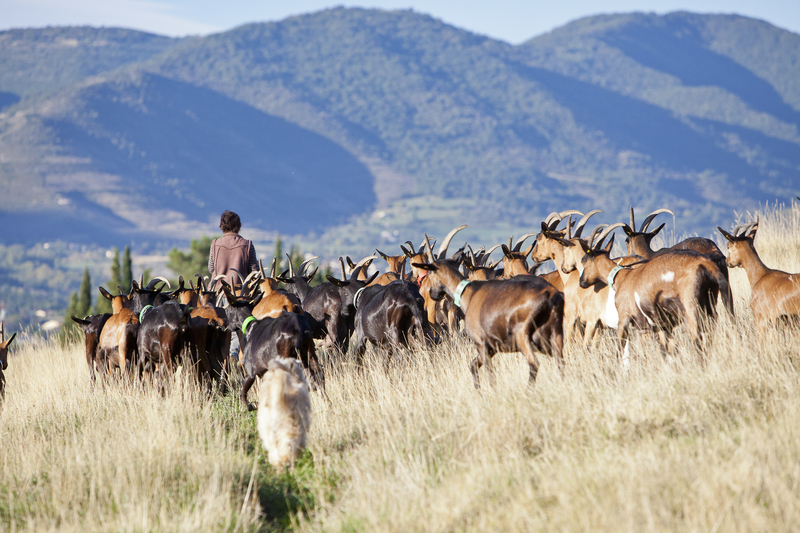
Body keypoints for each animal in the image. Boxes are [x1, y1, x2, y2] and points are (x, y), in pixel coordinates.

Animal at [412, 224, 564, 386]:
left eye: (431, 273)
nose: (432, 293)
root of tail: (551, 297)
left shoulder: (482, 344)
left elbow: (490, 375)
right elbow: (473, 366)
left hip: (523, 336)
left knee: (534, 363)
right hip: (553, 335)